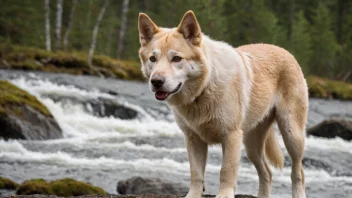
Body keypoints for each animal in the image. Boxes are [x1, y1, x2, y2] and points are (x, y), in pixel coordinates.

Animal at [138, 10, 308, 198]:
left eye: (176, 58)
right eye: (153, 58)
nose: (156, 81)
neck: (203, 90)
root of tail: (286, 52)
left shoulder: (231, 136)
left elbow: (226, 170)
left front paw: (224, 194)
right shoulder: (193, 139)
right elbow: (196, 173)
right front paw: (193, 195)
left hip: (291, 135)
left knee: (298, 172)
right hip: (251, 145)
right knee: (267, 172)